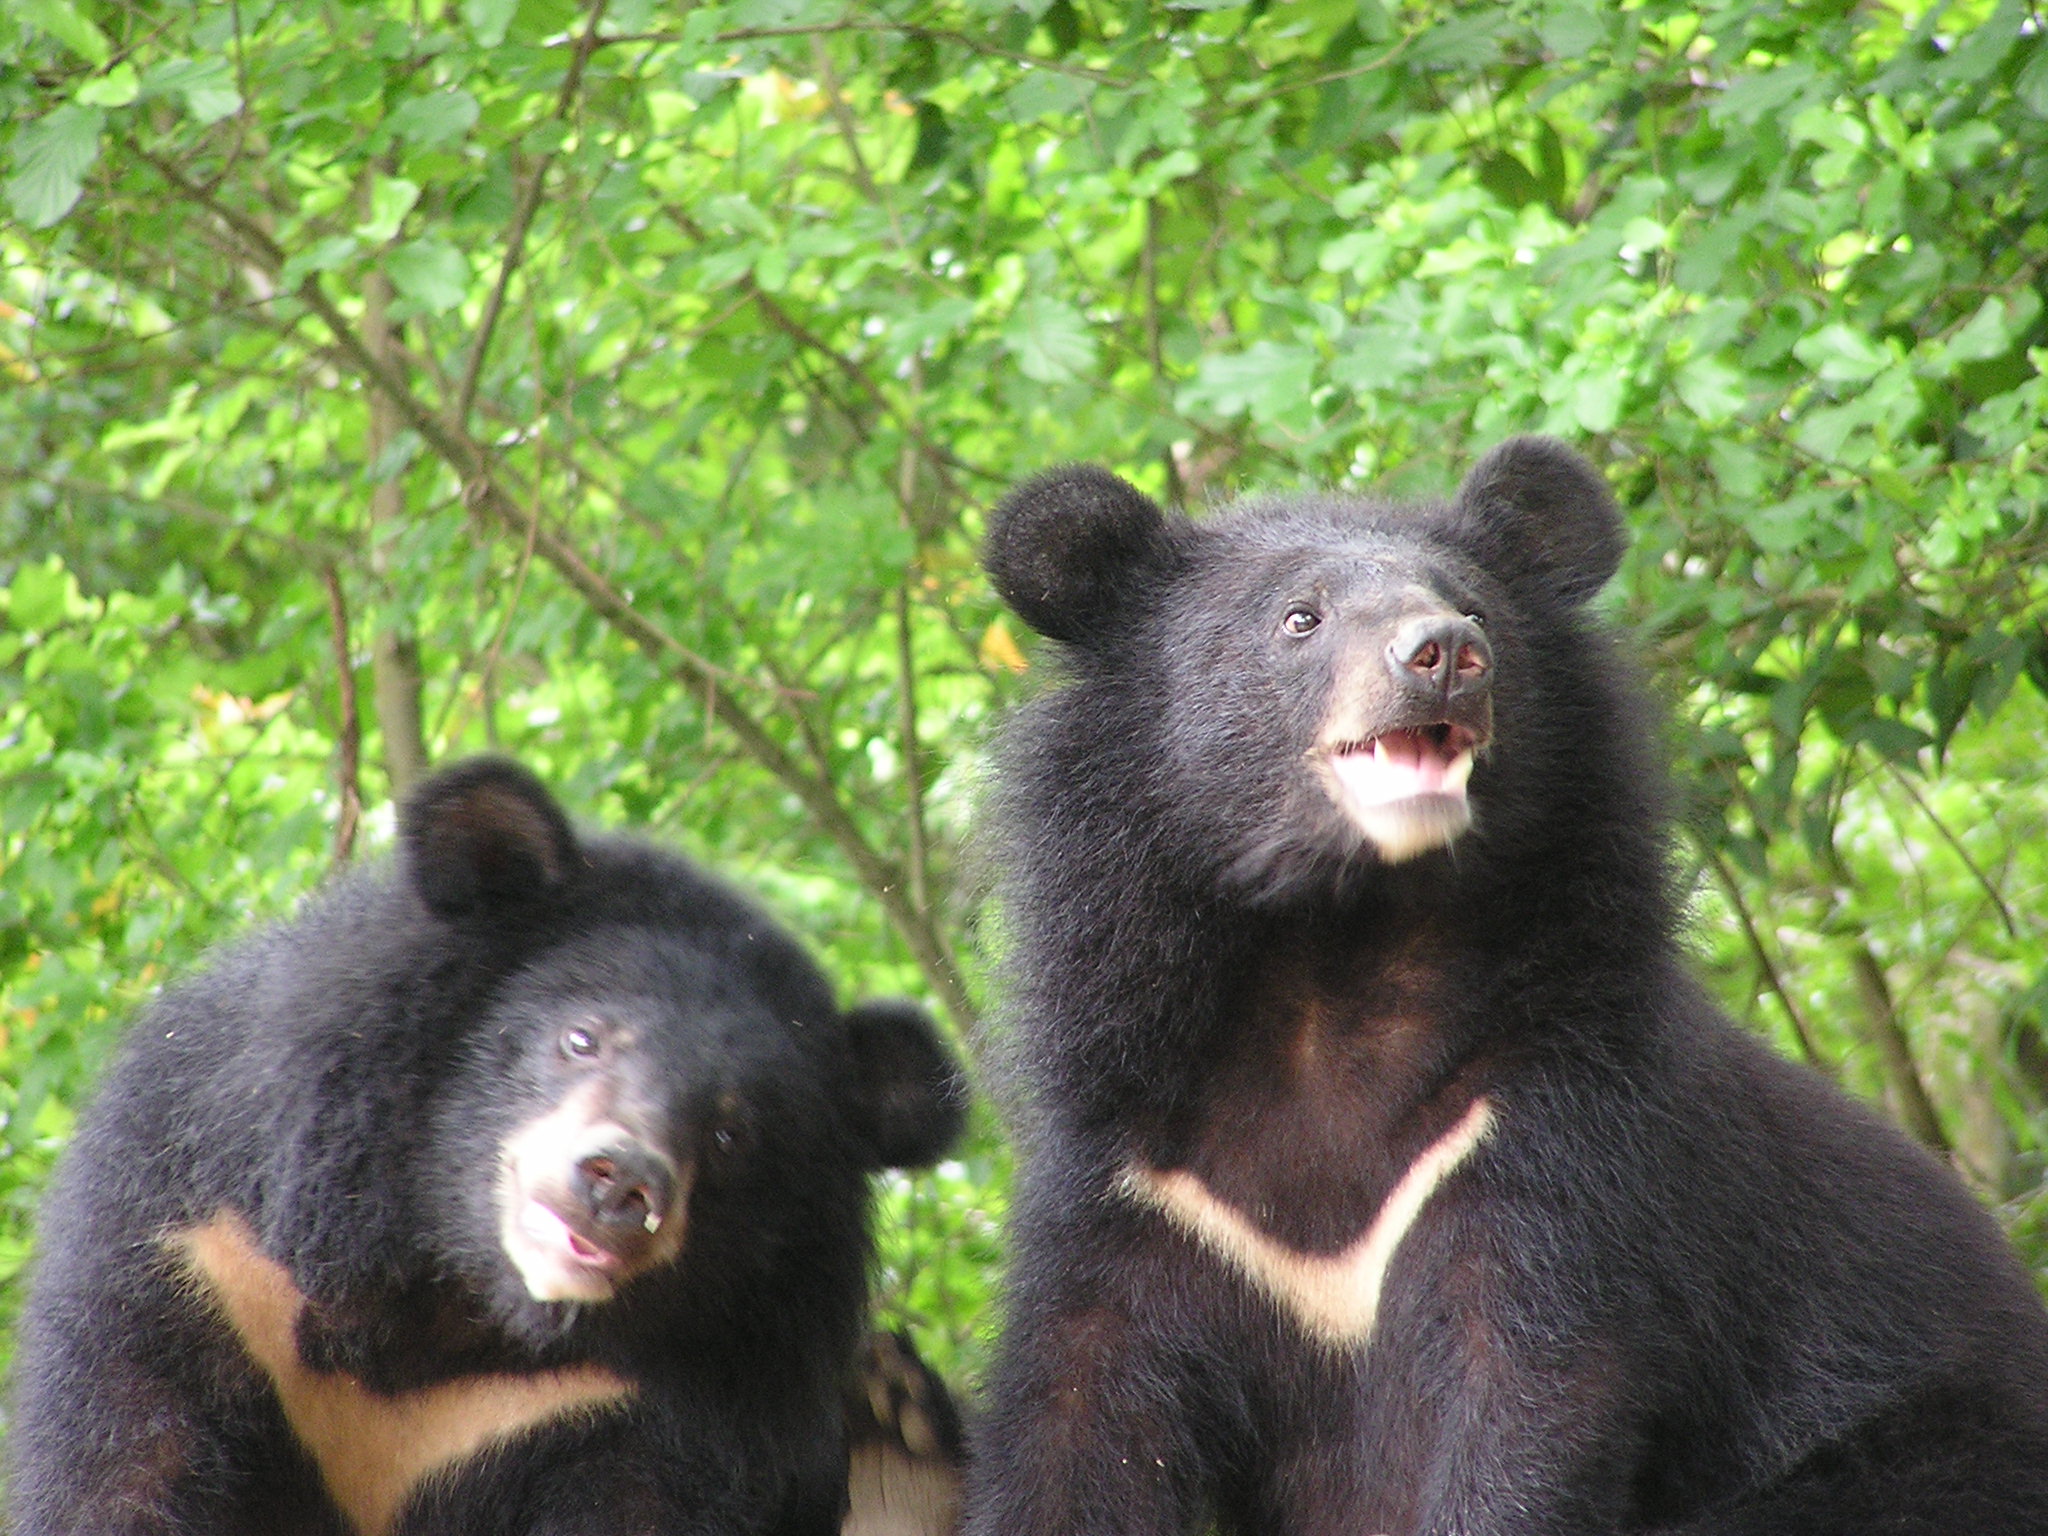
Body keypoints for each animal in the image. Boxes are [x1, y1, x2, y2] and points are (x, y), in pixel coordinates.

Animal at [9, 757, 966, 1536]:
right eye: (581, 1038)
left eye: (733, 1133)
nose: (619, 1183)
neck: (453, 1302)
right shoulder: (210, 1260)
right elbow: (121, 1464)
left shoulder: (635, 1411)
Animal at [966, 436, 2048, 1536]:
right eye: (1300, 617)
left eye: (1475, 609)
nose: (1441, 652)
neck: (1336, 959)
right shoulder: (1142, 1180)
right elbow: (1079, 1421)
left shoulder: (1547, 1136)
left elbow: (1526, 1400)